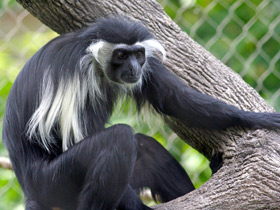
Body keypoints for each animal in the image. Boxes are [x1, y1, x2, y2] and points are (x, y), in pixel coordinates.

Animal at [3, 16, 280, 210]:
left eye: (138, 54)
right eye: (121, 55)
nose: (135, 68)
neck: (94, 60)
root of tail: (29, 188)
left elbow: (174, 98)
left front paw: (256, 118)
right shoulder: (75, 75)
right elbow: (74, 138)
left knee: (146, 149)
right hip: (52, 181)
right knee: (119, 138)